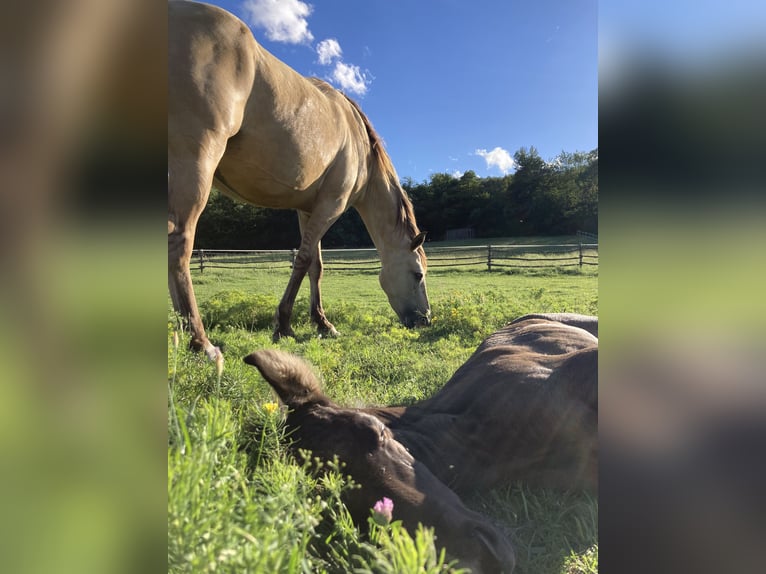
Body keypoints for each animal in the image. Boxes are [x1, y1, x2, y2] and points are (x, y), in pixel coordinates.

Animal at [170, 2, 432, 358]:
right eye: (418, 274)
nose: (425, 320)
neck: (360, 145)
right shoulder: (331, 206)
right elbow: (304, 260)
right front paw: (283, 325)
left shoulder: (308, 209)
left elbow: (316, 266)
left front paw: (322, 323)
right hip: (195, 163)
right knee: (180, 243)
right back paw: (201, 342)